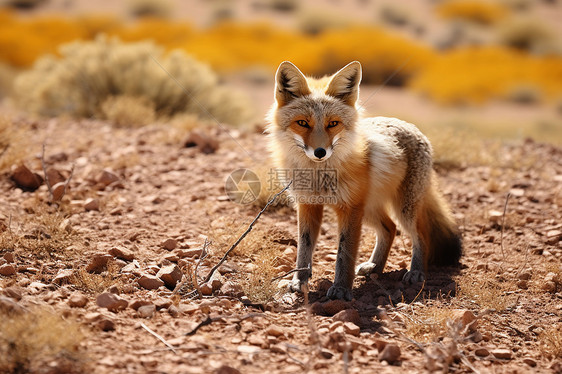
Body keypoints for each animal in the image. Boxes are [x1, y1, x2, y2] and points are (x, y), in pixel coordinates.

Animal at [266, 60, 460, 300]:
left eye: (333, 124)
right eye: (302, 123)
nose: (320, 152)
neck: (319, 175)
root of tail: (412, 127)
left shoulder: (350, 208)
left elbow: (345, 253)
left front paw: (341, 289)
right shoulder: (308, 204)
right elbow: (304, 249)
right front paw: (299, 282)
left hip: (402, 209)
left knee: (420, 235)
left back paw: (416, 272)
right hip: (369, 209)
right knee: (389, 228)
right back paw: (375, 267)